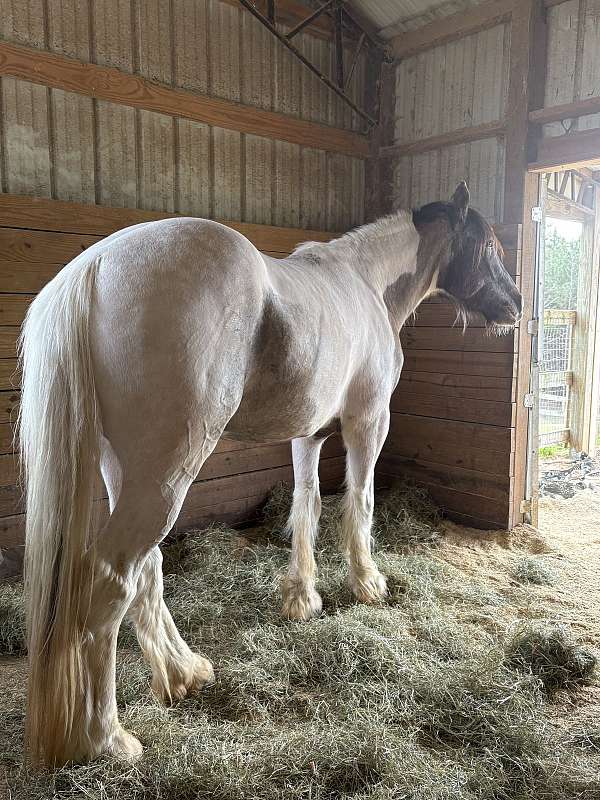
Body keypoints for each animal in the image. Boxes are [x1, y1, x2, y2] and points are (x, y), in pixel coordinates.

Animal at [19, 181, 522, 767]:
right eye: (488, 246)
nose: (514, 305)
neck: (365, 283)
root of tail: (95, 268)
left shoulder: (309, 435)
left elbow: (308, 505)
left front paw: (302, 598)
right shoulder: (368, 422)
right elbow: (361, 501)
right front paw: (368, 583)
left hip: (123, 468)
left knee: (149, 567)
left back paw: (183, 673)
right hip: (166, 472)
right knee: (113, 578)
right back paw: (108, 738)